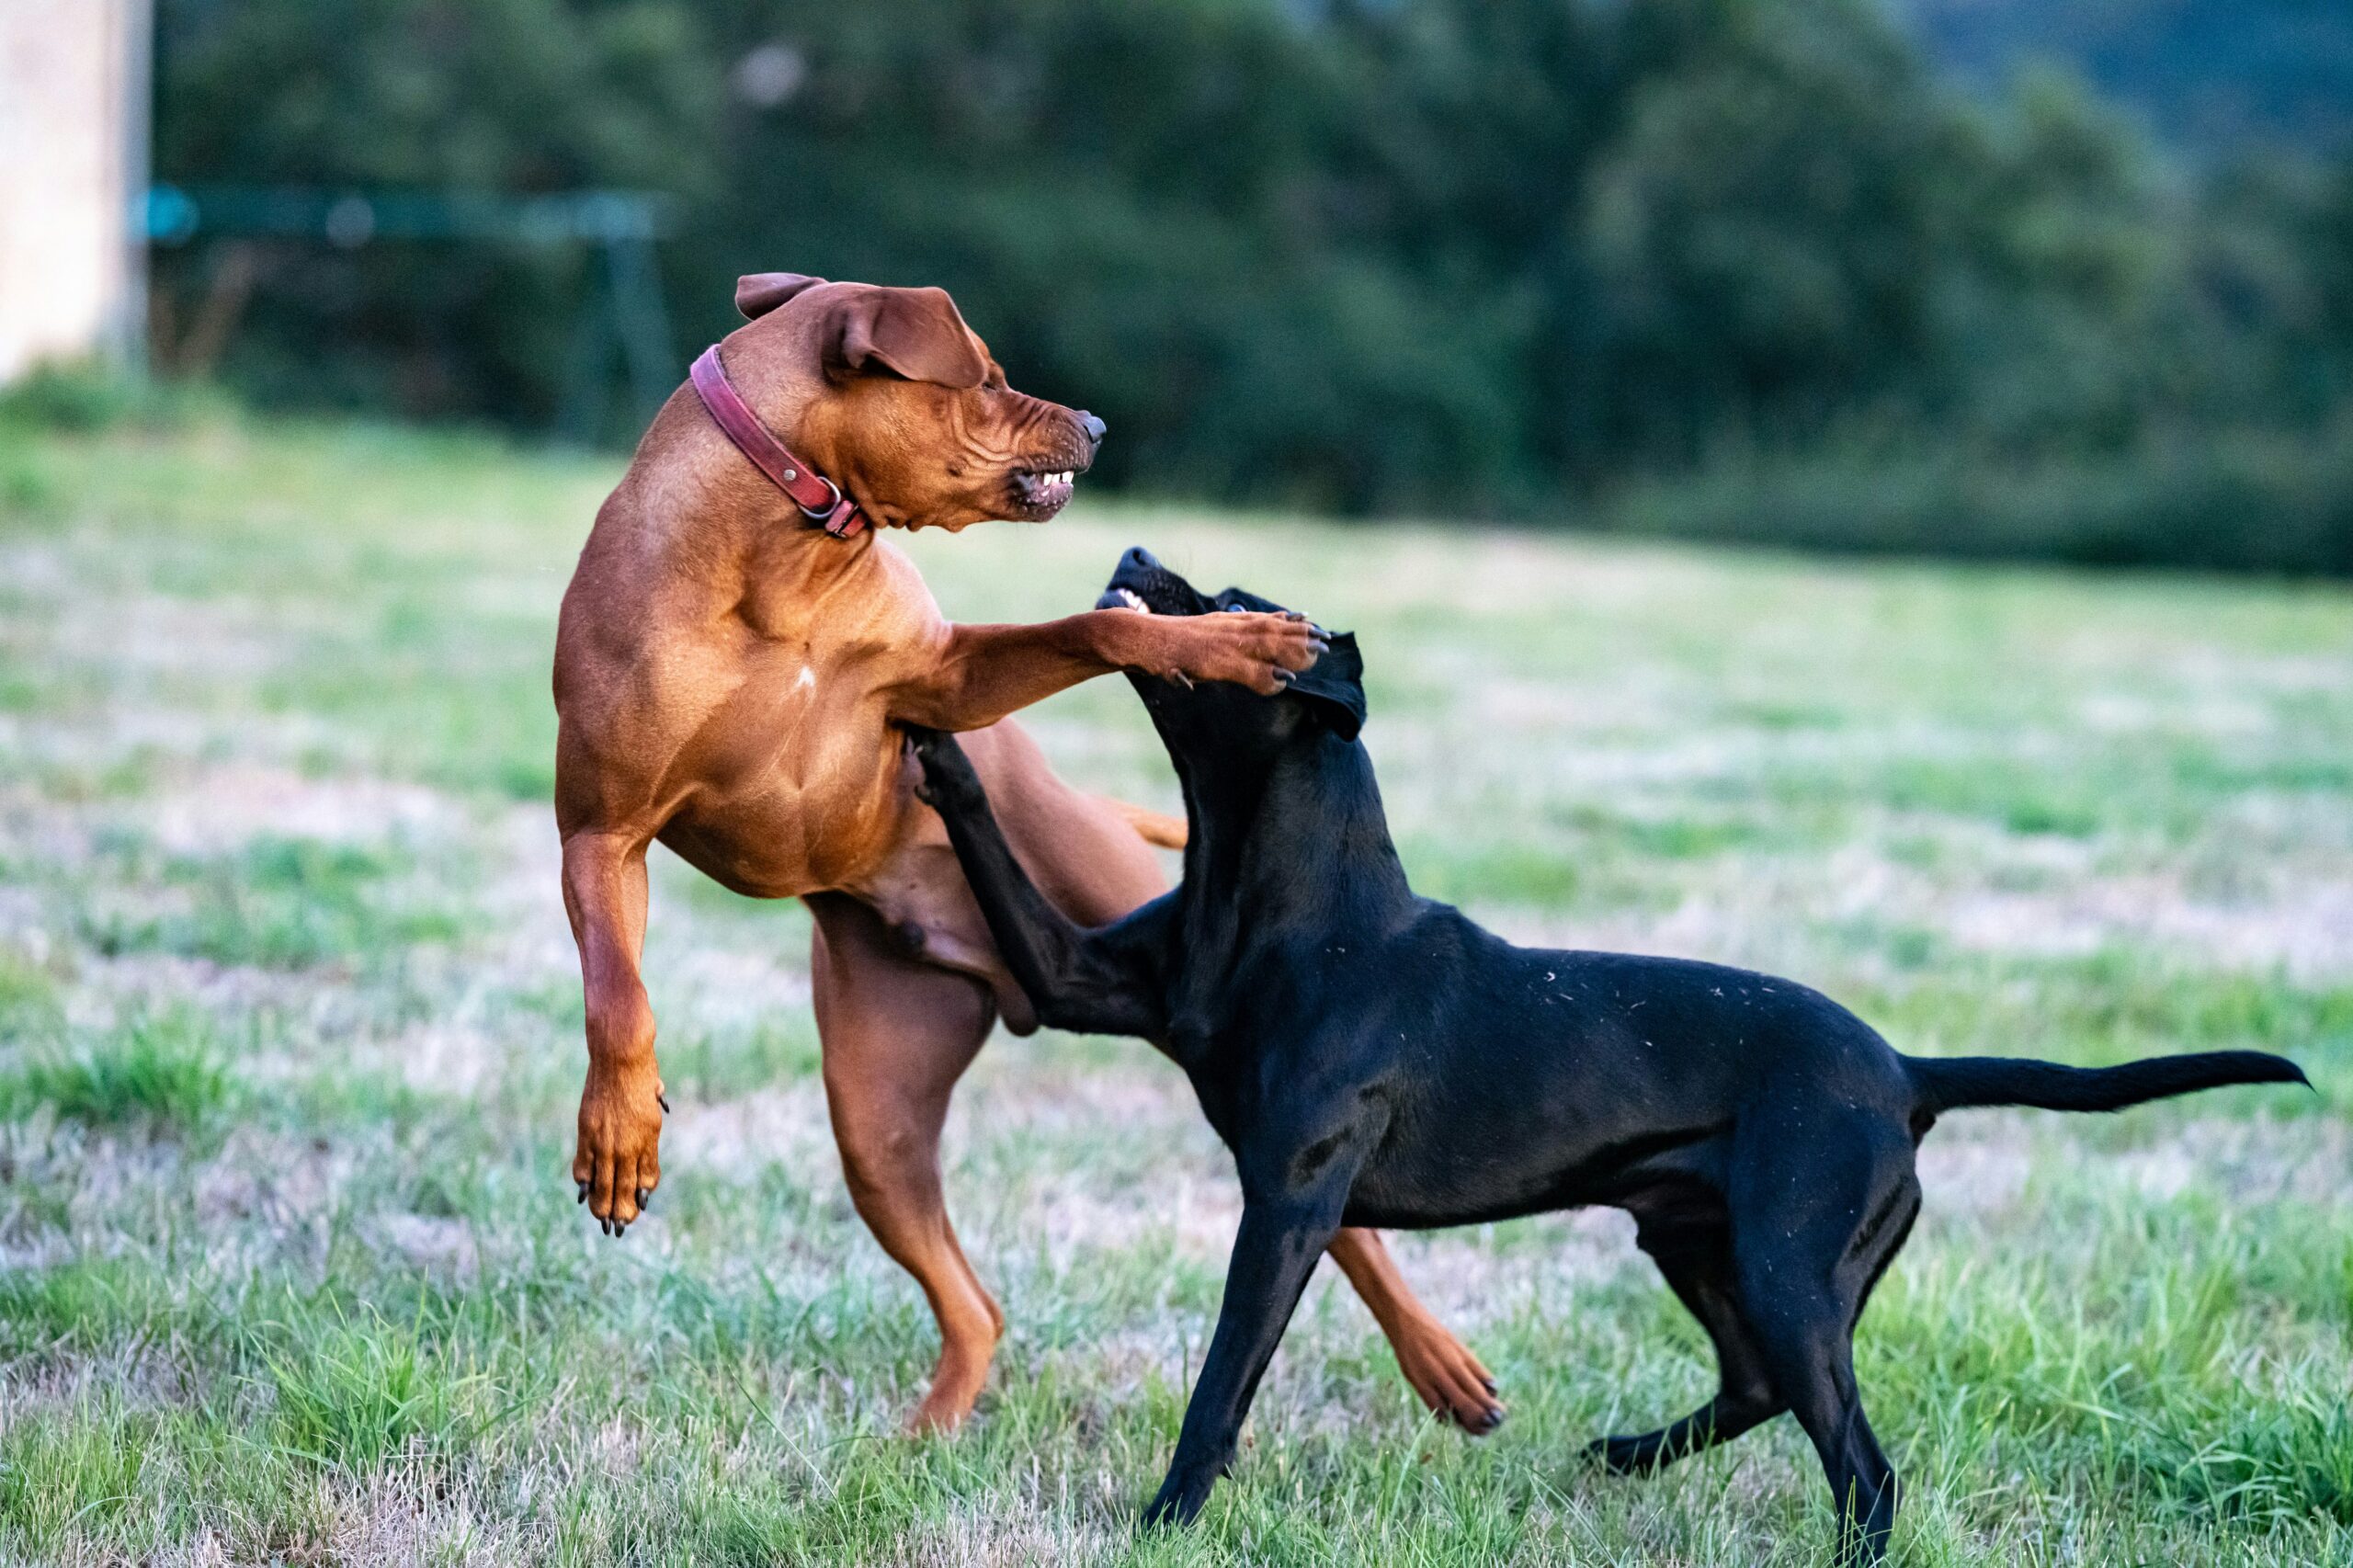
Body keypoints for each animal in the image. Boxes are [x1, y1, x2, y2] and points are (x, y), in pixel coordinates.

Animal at [552, 278, 1506, 1431]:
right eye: (989, 377)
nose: (1095, 424)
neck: (785, 554)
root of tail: (994, 974)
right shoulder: (600, 834)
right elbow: (619, 994)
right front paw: (619, 1130)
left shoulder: (946, 677)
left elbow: (1097, 630)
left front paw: (1227, 644)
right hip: (876, 1121)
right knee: (975, 1303)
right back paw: (928, 1433)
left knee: (1350, 1228)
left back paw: (1440, 1362)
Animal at [904, 546, 2315, 1553]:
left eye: (1242, 604)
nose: (1137, 545)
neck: (1278, 894)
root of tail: (1908, 1074)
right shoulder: (1080, 982)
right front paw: (934, 735)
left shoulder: (1290, 1198)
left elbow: (1222, 1379)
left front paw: (1165, 1519)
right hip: (1701, 1243)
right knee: (1758, 1389)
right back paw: (1623, 1453)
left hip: (1790, 1265)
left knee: (1864, 1466)